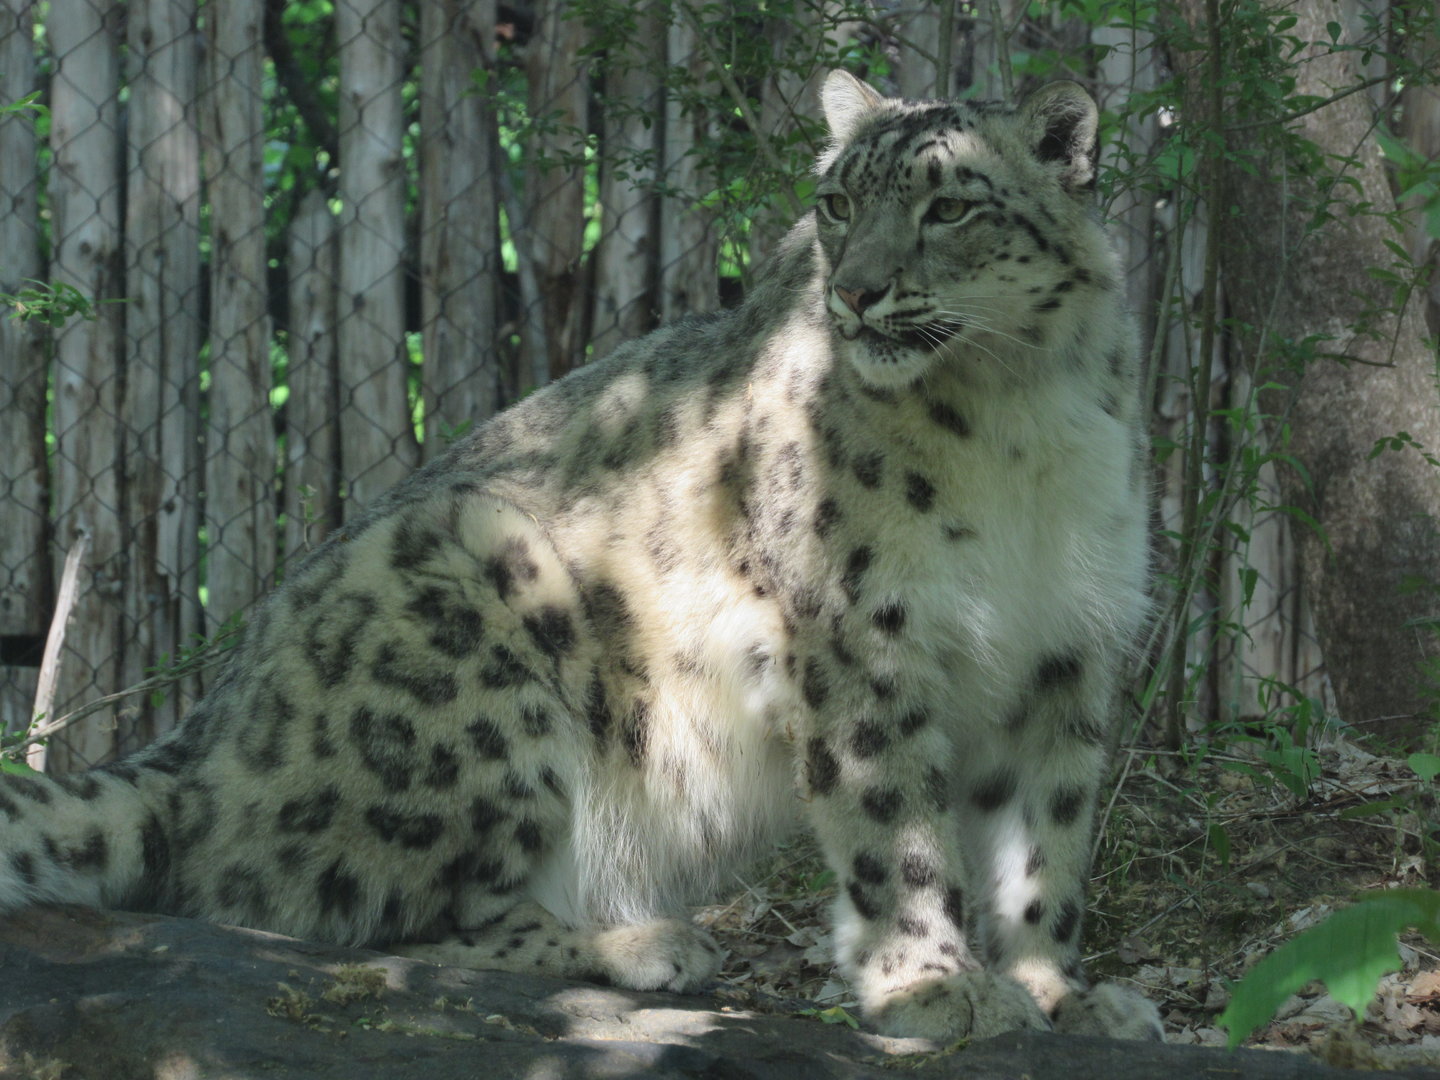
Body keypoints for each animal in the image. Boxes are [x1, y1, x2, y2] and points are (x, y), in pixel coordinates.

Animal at [0, 70, 1161, 1043]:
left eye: (948, 207)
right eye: (838, 204)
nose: (861, 291)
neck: (1015, 425)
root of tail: (206, 740)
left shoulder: (1065, 650)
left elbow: (1048, 838)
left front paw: (1060, 990)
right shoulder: (860, 635)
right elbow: (897, 827)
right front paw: (932, 984)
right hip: (480, 607)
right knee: (370, 915)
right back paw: (640, 944)